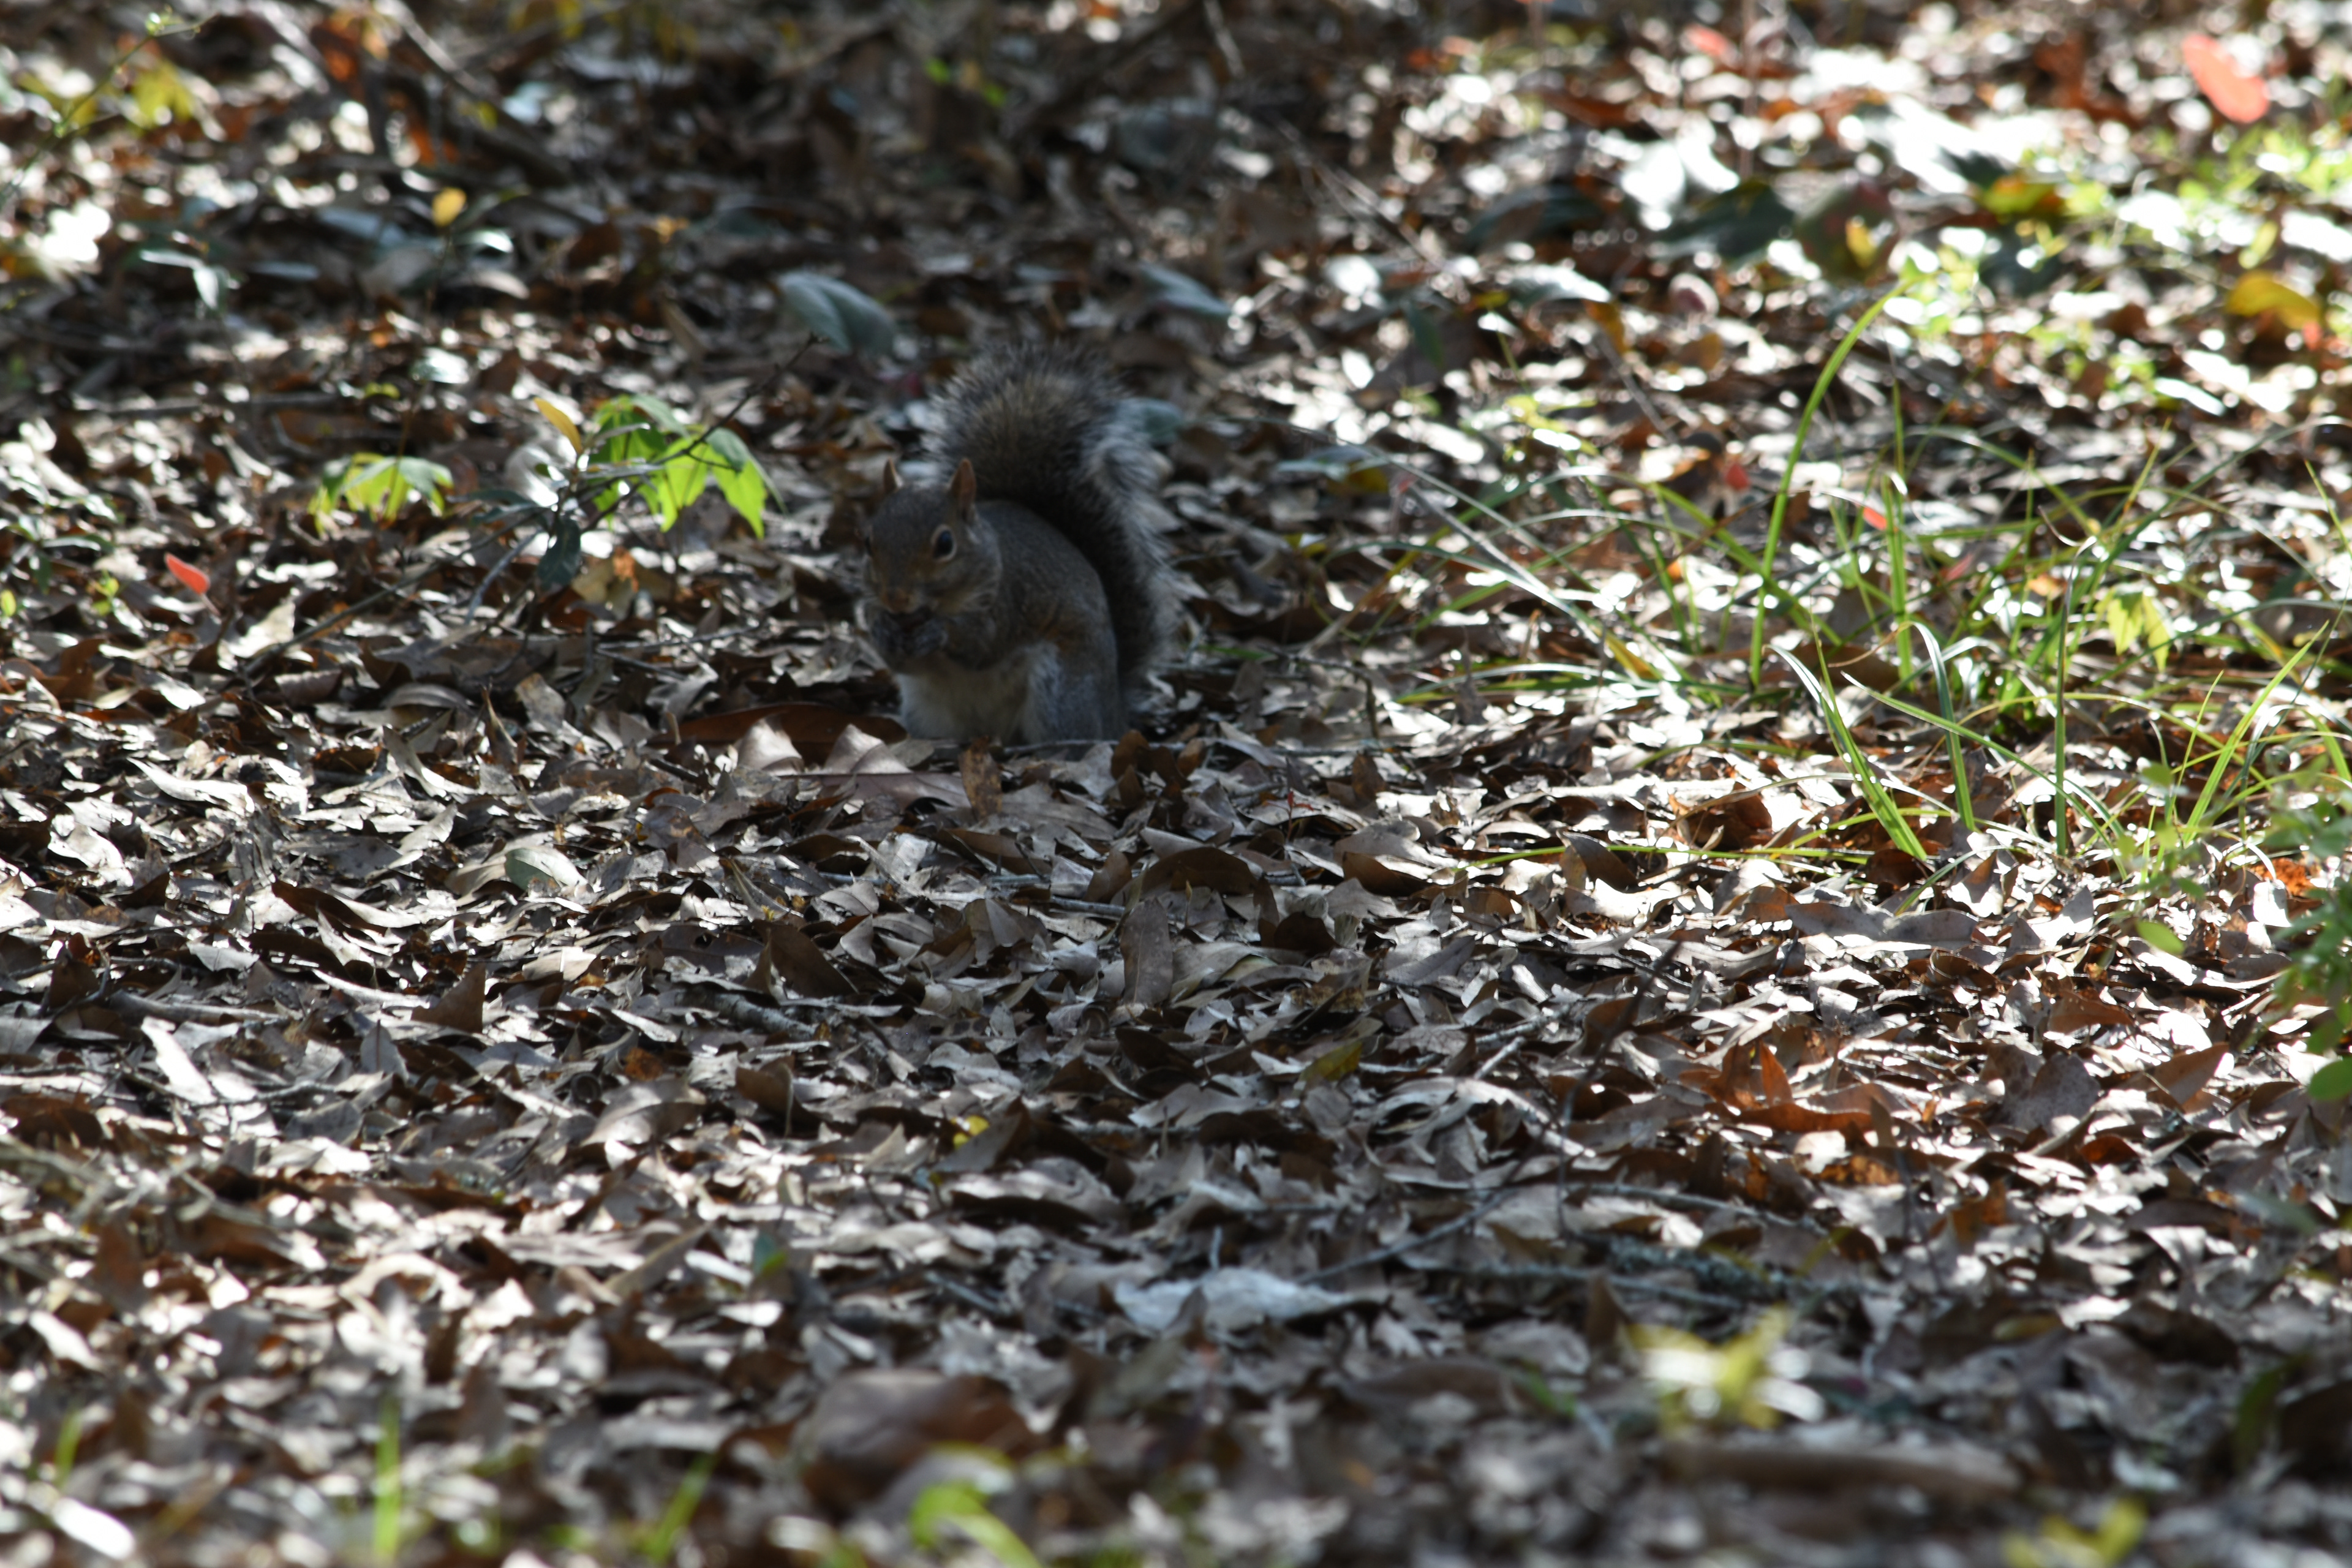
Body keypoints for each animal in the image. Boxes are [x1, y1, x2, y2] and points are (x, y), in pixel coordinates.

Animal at [857, 343, 1177, 745]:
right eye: (869, 541)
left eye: (945, 543)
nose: (895, 598)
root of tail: (1116, 712)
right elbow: (897, 659)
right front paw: (882, 629)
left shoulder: (1010, 599)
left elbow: (983, 644)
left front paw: (940, 632)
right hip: (927, 710)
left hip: (1061, 690)